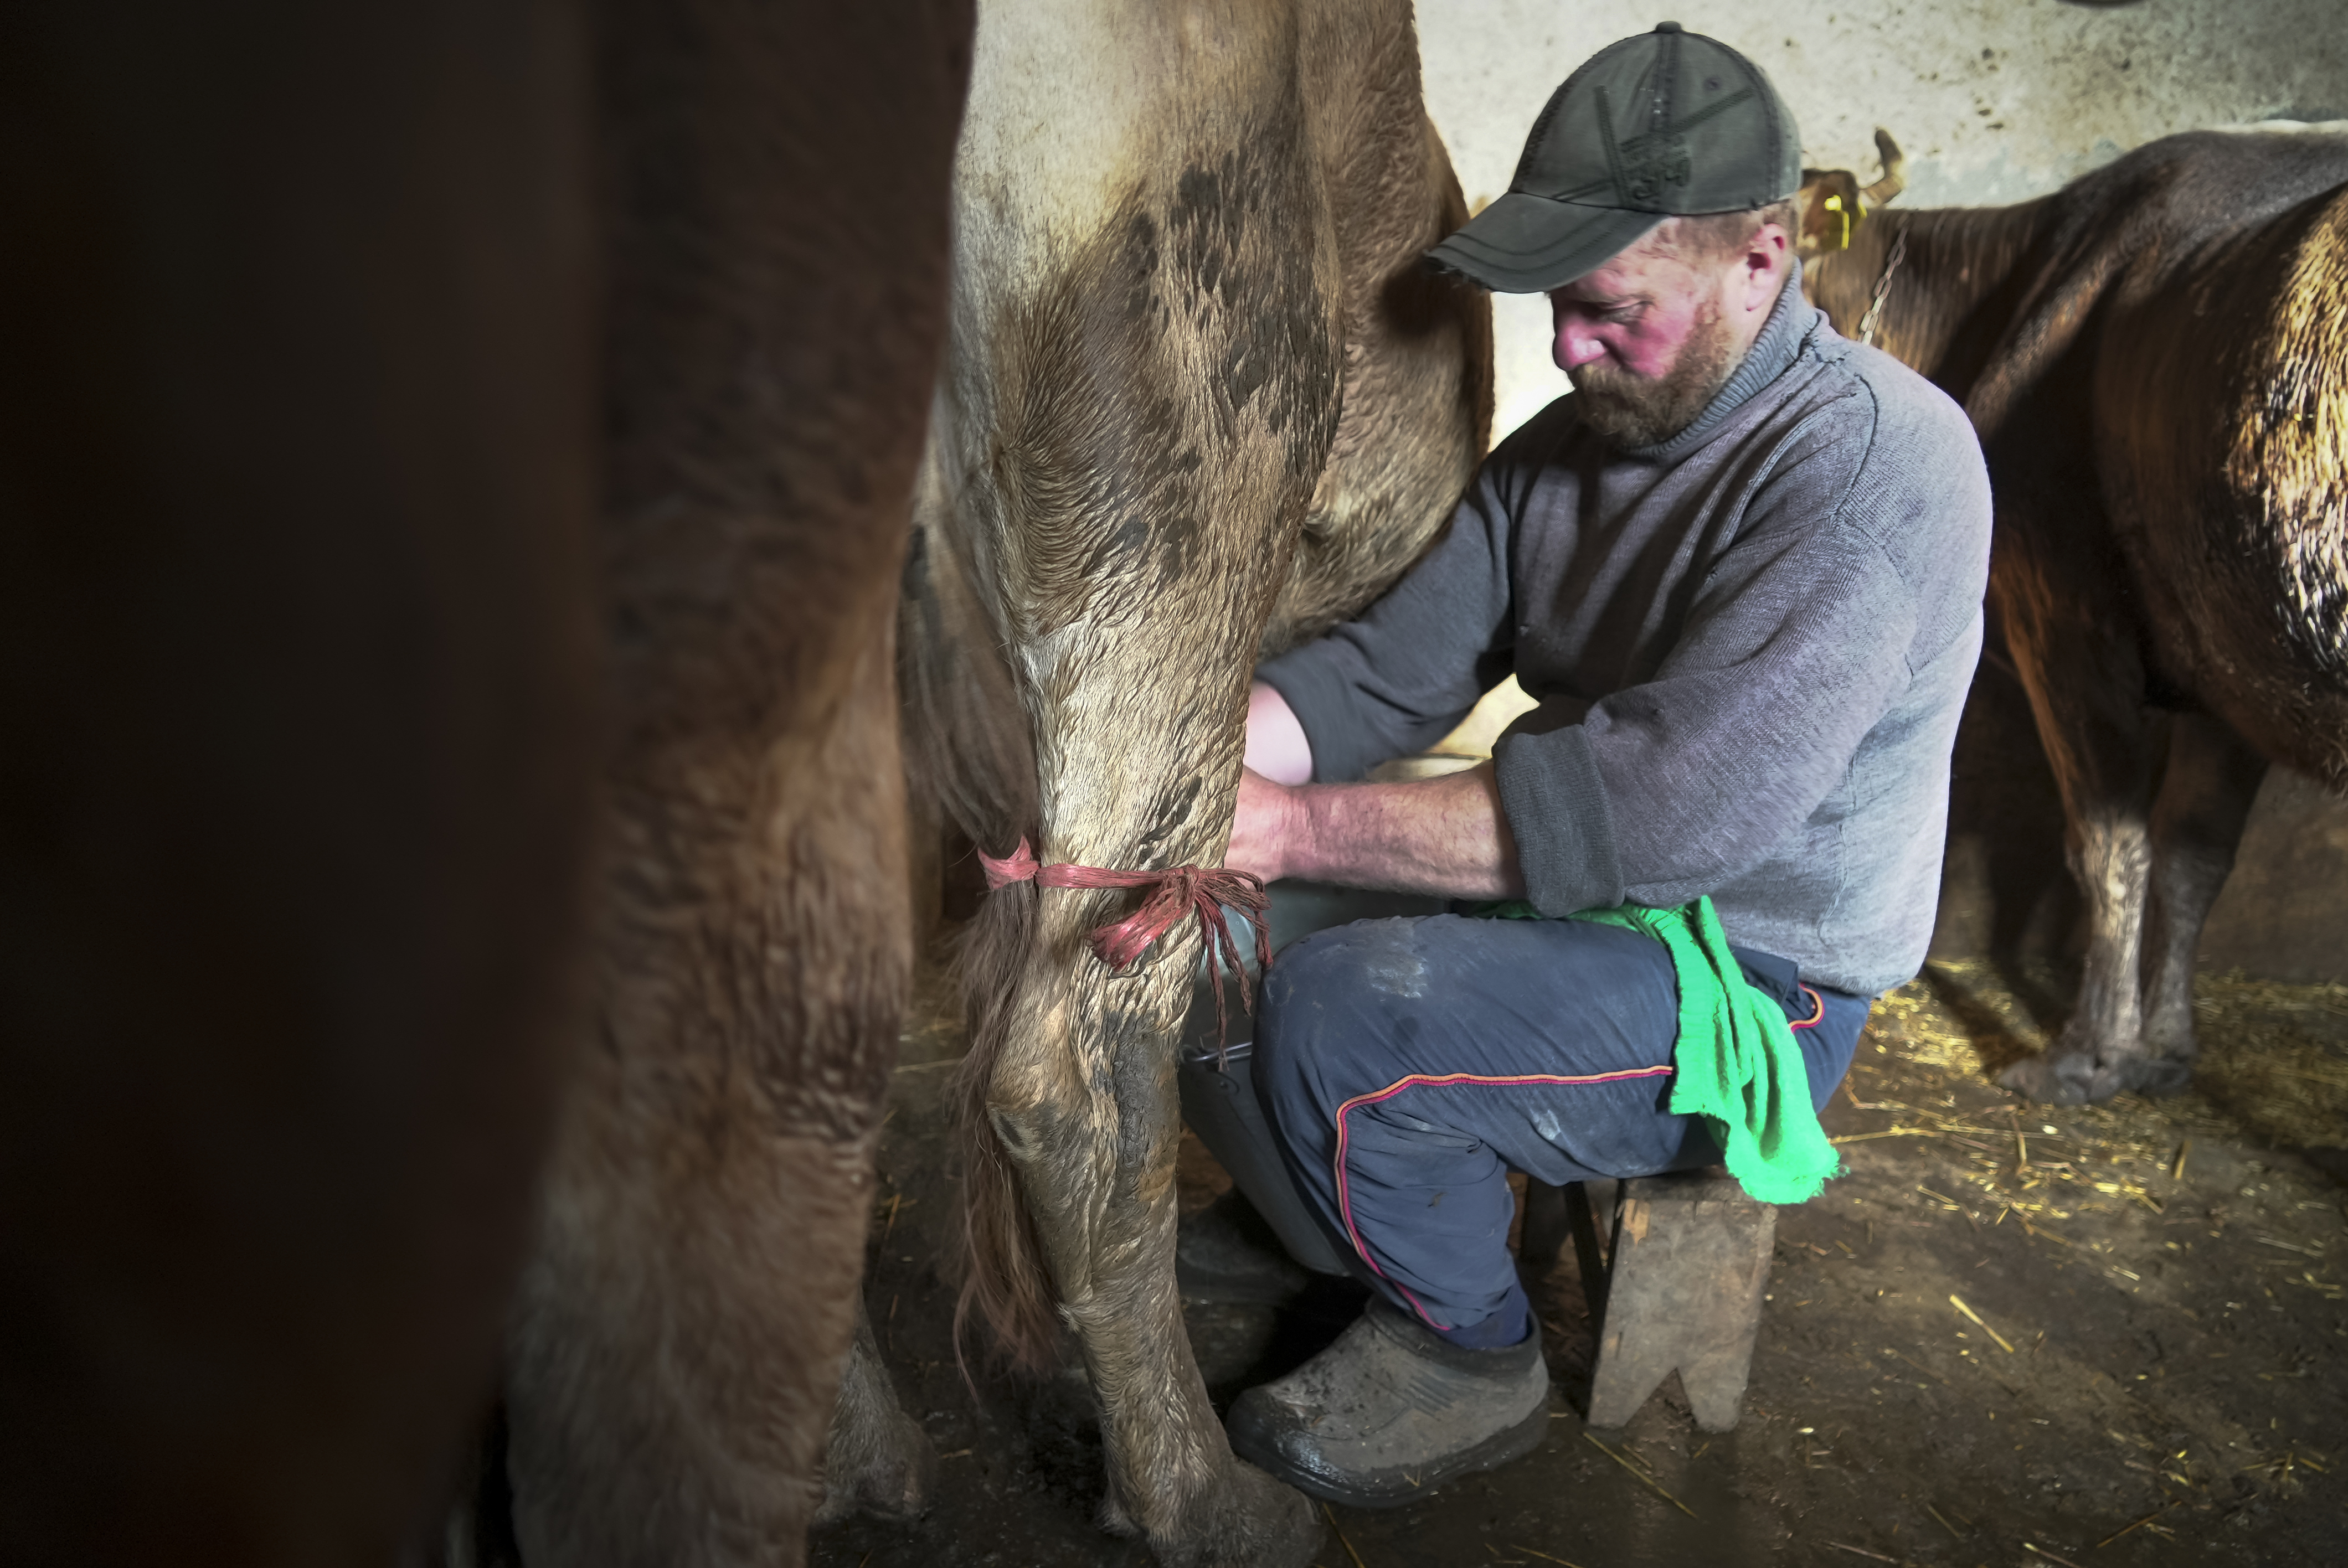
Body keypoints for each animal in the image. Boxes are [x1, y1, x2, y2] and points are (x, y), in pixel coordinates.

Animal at [1803, 120, 2339, 1103]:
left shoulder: (2063, 615)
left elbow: (2108, 845)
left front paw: (2089, 1053)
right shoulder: (2231, 665)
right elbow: (2196, 857)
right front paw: (2164, 1050)